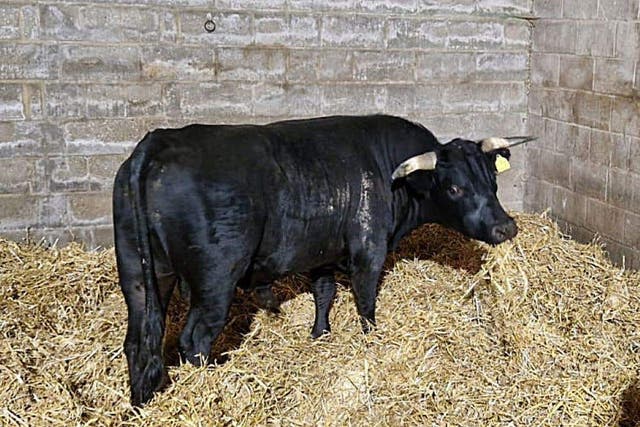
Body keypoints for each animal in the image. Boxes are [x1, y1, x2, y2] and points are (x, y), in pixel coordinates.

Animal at [113, 114, 527, 406]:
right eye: (454, 188)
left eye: (492, 180)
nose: (506, 227)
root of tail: (159, 141)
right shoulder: (368, 251)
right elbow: (365, 304)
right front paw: (369, 341)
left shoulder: (322, 253)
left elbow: (324, 293)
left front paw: (320, 334)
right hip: (214, 281)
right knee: (194, 339)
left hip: (141, 275)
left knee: (139, 341)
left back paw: (141, 403)